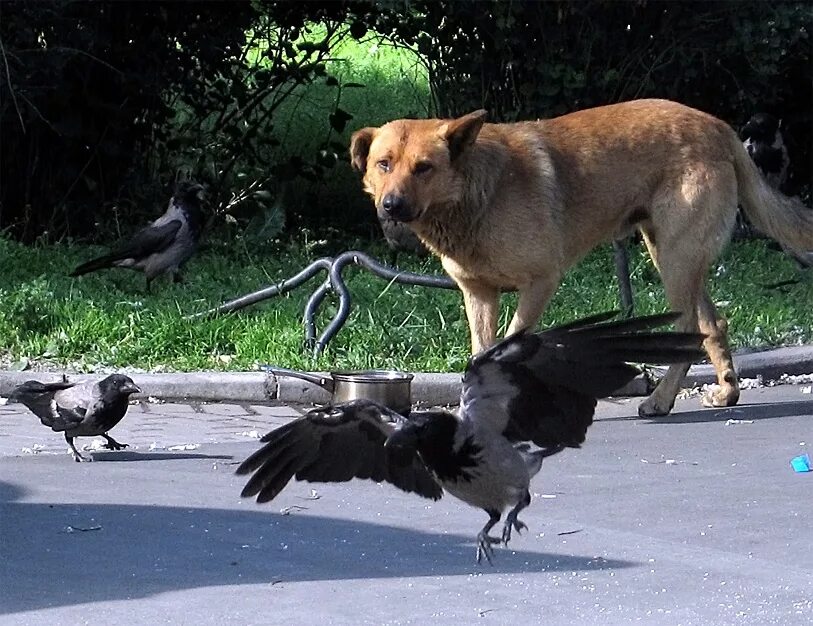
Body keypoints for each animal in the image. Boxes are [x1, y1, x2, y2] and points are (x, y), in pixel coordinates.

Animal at [352, 100, 812, 414]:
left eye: (424, 168)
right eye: (384, 164)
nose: (391, 206)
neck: (475, 194)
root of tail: (718, 126)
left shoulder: (540, 282)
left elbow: (510, 343)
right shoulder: (478, 294)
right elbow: (481, 351)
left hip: (676, 258)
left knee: (688, 327)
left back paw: (661, 400)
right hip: (673, 255)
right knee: (712, 325)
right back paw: (727, 390)